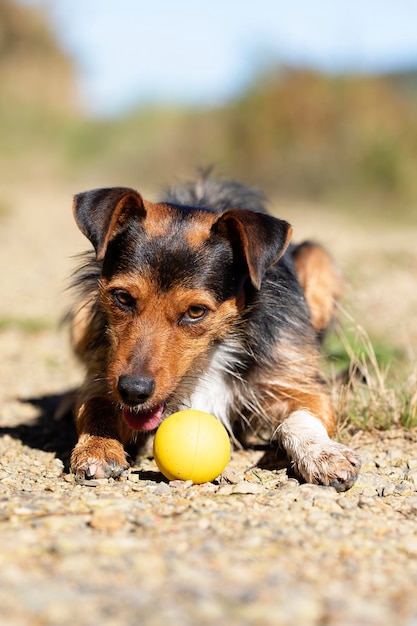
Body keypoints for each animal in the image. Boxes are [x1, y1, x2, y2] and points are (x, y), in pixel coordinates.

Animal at [68, 174, 360, 488]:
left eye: (196, 312)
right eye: (122, 297)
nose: (133, 392)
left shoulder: (296, 382)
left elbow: (302, 417)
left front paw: (324, 453)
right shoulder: (104, 377)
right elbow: (94, 407)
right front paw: (96, 447)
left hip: (318, 260)